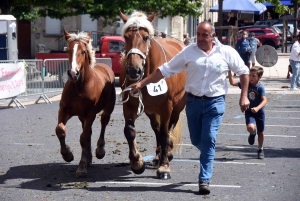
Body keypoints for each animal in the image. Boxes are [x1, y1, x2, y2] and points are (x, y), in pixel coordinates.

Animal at [54, 29, 115, 177]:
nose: (73, 73)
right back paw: (88, 158)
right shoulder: (64, 110)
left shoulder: (90, 114)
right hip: (82, 117)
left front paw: (81, 167)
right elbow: (60, 130)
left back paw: (99, 151)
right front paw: (67, 155)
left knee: (103, 123)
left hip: (108, 108)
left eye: (82, 51)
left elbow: (84, 138)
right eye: (68, 51)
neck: (79, 86)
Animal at [119, 11, 185, 179]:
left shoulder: (167, 107)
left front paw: (164, 167)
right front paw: (137, 163)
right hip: (151, 110)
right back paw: (157, 155)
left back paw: (167, 153)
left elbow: (165, 134)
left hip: (177, 107)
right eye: (126, 37)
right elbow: (129, 131)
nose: (133, 71)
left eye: (145, 37)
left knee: (168, 127)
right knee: (156, 129)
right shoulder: (129, 105)